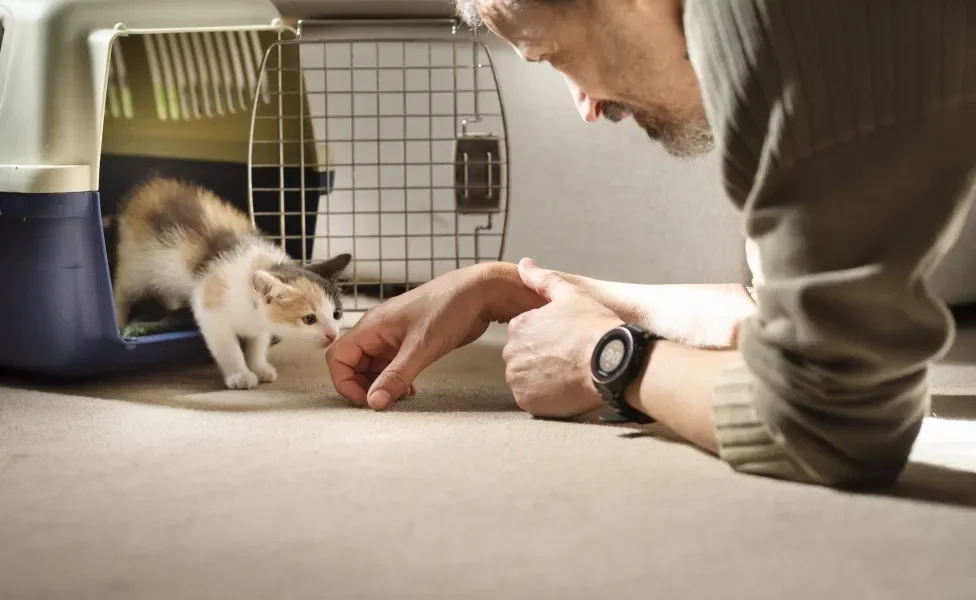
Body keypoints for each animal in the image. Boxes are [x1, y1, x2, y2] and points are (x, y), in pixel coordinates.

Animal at [114, 175, 350, 390]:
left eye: (337, 314)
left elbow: (257, 342)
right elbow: (228, 347)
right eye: (309, 318)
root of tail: (150, 185)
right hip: (135, 265)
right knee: (122, 291)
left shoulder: (259, 323)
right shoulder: (210, 307)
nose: (332, 334)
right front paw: (240, 375)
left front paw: (259, 366)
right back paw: (119, 320)